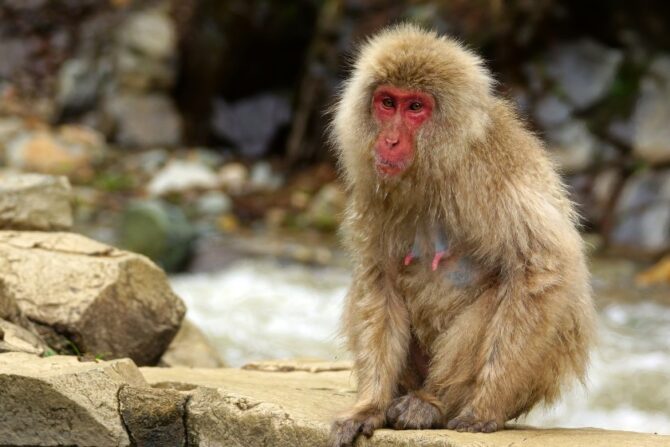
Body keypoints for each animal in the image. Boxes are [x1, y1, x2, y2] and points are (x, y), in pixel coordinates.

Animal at [330, 25, 600, 447]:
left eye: (415, 107)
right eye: (387, 103)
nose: (389, 141)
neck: (435, 168)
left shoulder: (484, 177)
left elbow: (542, 267)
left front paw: (484, 407)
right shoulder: (374, 194)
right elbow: (379, 279)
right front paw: (369, 405)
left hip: (539, 372)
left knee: (506, 293)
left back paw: (434, 402)